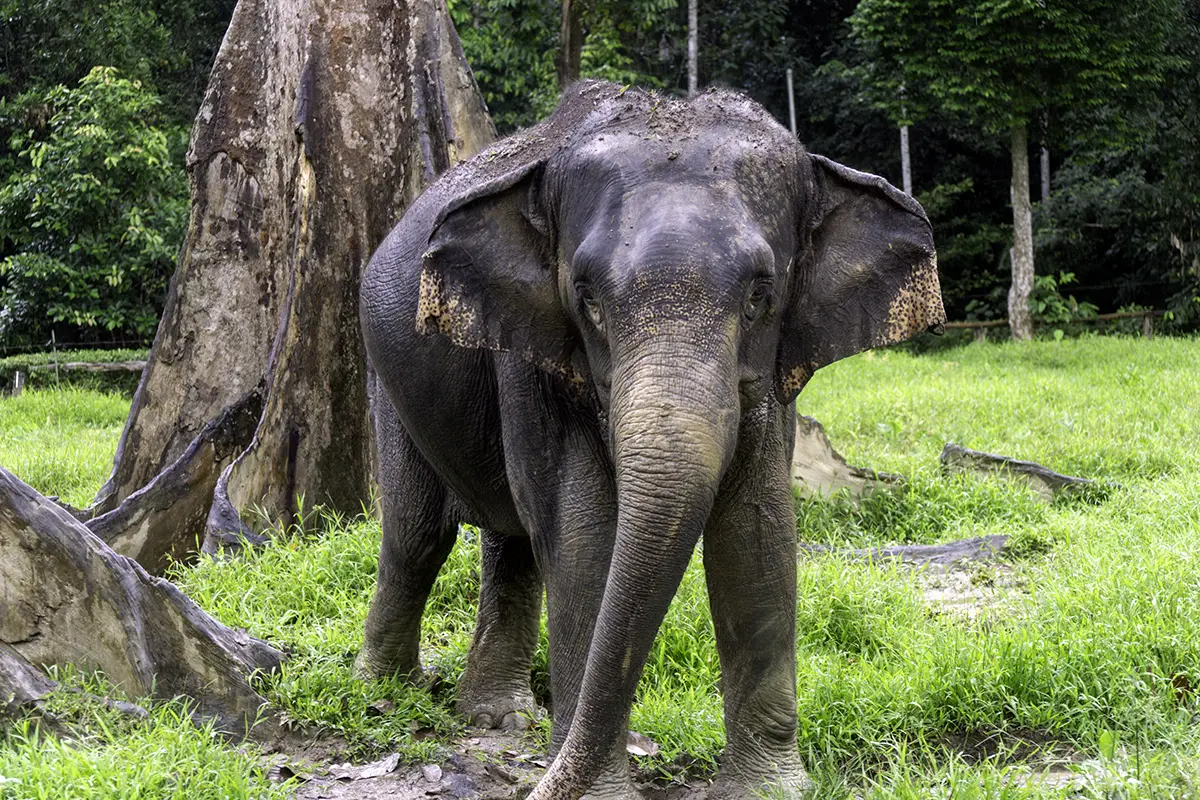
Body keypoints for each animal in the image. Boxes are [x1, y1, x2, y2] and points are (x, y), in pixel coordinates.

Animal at [357, 80, 945, 799]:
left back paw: (498, 718)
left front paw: (766, 790)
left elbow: (756, 530)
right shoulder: (535, 354)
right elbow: (582, 529)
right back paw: (388, 693)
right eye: (587, 298)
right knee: (418, 534)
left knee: (510, 540)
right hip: (385, 378)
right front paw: (603, 792)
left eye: (761, 294)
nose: (538, 788)